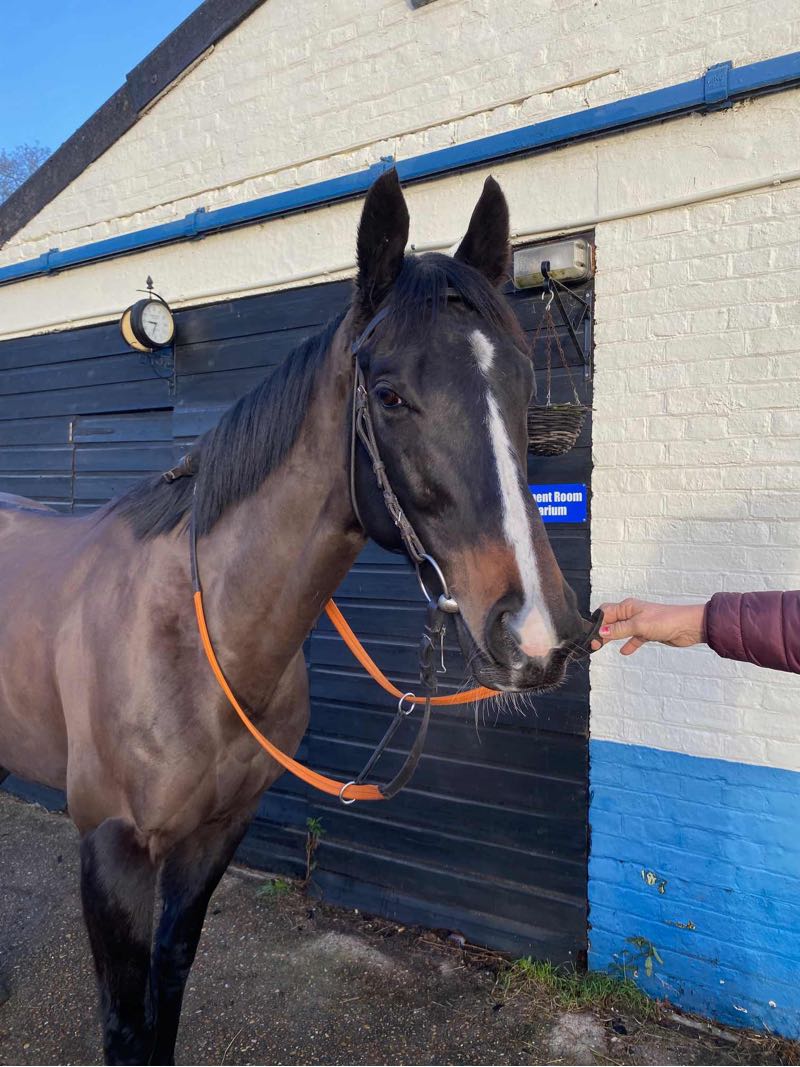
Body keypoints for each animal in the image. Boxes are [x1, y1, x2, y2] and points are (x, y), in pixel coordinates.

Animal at [0, 170, 597, 1065]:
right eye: (389, 394)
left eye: (527, 382)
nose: (537, 633)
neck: (194, 640)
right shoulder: (113, 850)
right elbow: (125, 1023)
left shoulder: (218, 833)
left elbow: (166, 988)